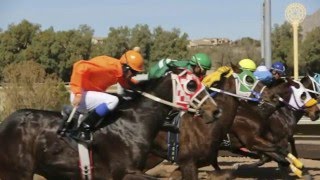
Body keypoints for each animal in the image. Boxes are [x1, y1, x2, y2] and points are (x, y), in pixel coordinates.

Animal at [0, 69, 220, 179]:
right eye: (191, 84)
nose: (215, 110)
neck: (135, 122)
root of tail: (5, 123)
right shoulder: (124, 172)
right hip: (18, 173)